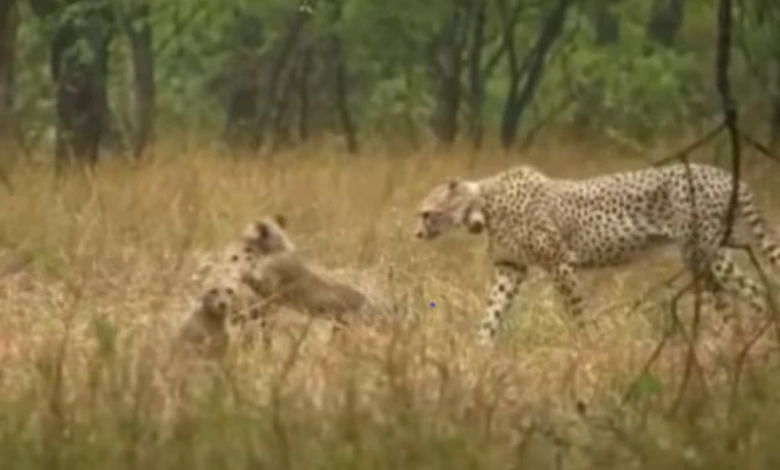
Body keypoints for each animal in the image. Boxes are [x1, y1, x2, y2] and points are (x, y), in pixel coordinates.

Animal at [418, 163, 780, 344]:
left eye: (426, 214)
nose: (416, 234)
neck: (483, 204)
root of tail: (728, 175)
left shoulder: (560, 263)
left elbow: (576, 310)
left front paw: (587, 345)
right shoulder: (511, 267)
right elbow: (493, 310)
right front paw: (480, 349)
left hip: (703, 255)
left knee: (754, 291)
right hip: (707, 257)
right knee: (743, 298)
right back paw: (743, 343)